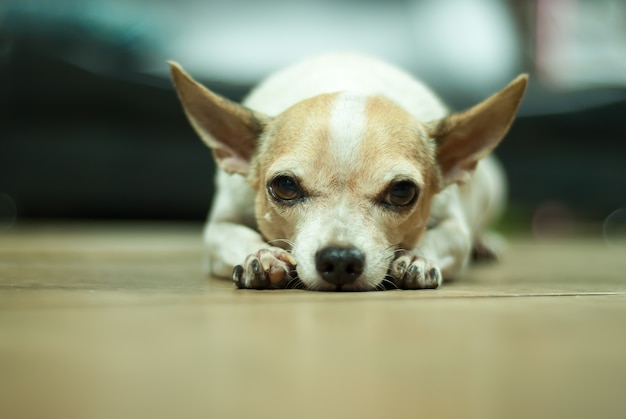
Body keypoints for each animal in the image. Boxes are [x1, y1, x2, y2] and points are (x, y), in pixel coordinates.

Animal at [168, 53, 524, 292]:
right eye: (285, 186)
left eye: (402, 192)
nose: (339, 259)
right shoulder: (219, 227)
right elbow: (233, 235)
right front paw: (262, 254)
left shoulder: (455, 228)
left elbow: (444, 238)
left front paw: (417, 259)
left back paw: (486, 244)